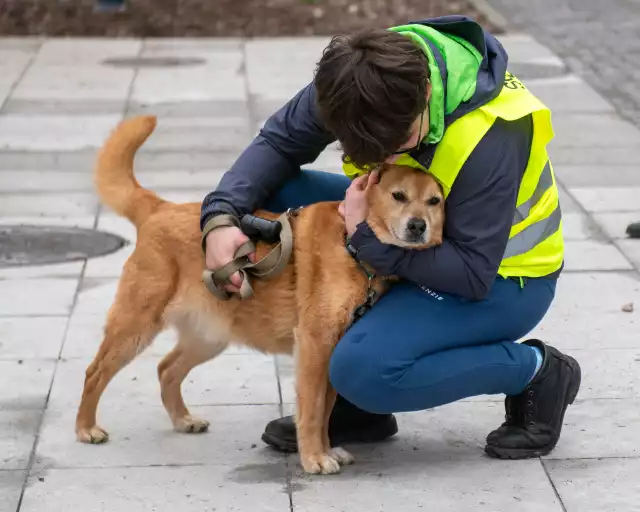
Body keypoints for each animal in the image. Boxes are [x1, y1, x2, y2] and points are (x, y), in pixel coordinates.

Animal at [76, 116, 444, 476]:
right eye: (398, 196)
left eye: (434, 202)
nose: (417, 226)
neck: (352, 242)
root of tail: (159, 209)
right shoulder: (314, 344)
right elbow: (313, 411)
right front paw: (314, 457)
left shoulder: (331, 351)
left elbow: (325, 409)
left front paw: (326, 449)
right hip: (136, 326)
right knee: (95, 372)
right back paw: (86, 428)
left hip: (208, 335)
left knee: (166, 368)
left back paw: (182, 419)